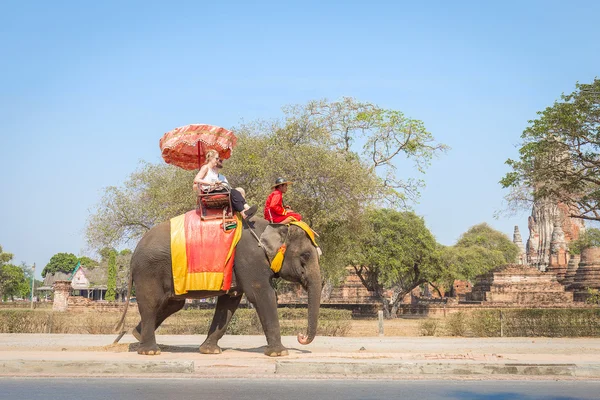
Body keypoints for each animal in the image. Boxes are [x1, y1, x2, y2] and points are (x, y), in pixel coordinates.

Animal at [115, 216, 322, 356]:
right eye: (305, 256)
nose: (300, 336)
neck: (272, 226)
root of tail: (133, 254)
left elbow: (229, 303)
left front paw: (210, 351)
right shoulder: (250, 258)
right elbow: (261, 294)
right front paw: (280, 353)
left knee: (171, 304)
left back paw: (136, 336)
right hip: (149, 270)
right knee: (151, 303)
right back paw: (150, 351)